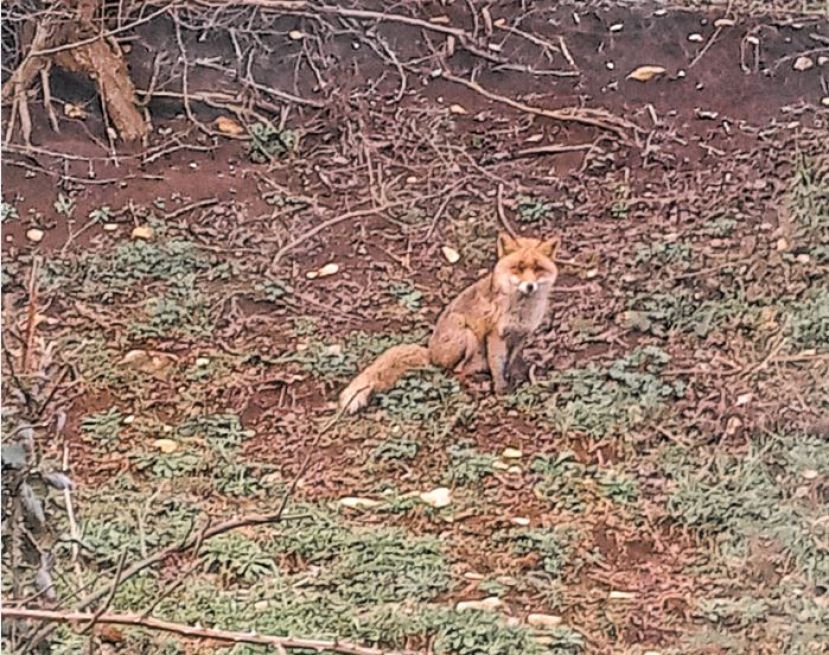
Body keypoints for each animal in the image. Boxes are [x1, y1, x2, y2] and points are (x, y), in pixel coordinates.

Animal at [338, 232, 560, 414]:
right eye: (518, 268)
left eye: (538, 269)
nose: (530, 286)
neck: (522, 310)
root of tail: (430, 353)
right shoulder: (495, 335)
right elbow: (498, 366)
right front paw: (501, 390)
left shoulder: (521, 335)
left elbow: (511, 362)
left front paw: (514, 379)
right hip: (467, 335)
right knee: (455, 371)